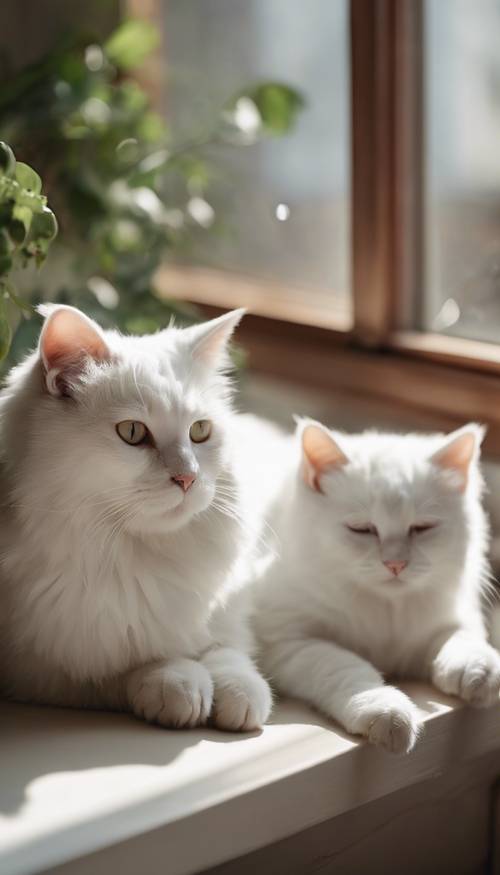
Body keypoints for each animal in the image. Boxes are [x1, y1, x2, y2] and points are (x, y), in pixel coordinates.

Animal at [0, 304, 274, 728]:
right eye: (131, 432)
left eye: (200, 431)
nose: (187, 477)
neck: (137, 559)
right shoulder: (42, 667)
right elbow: (127, 670)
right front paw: (179, 684)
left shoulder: (224, 615)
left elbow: (229, 653)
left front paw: (239, 695)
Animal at [254, 418, 500, 752]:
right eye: (362, 529)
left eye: (422, 528)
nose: (395, 564)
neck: (386, 611)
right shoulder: (288, 641)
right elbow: (346, 667)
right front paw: (386, 712)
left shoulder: (447, 620)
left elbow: (462, 639)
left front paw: (478, 672)